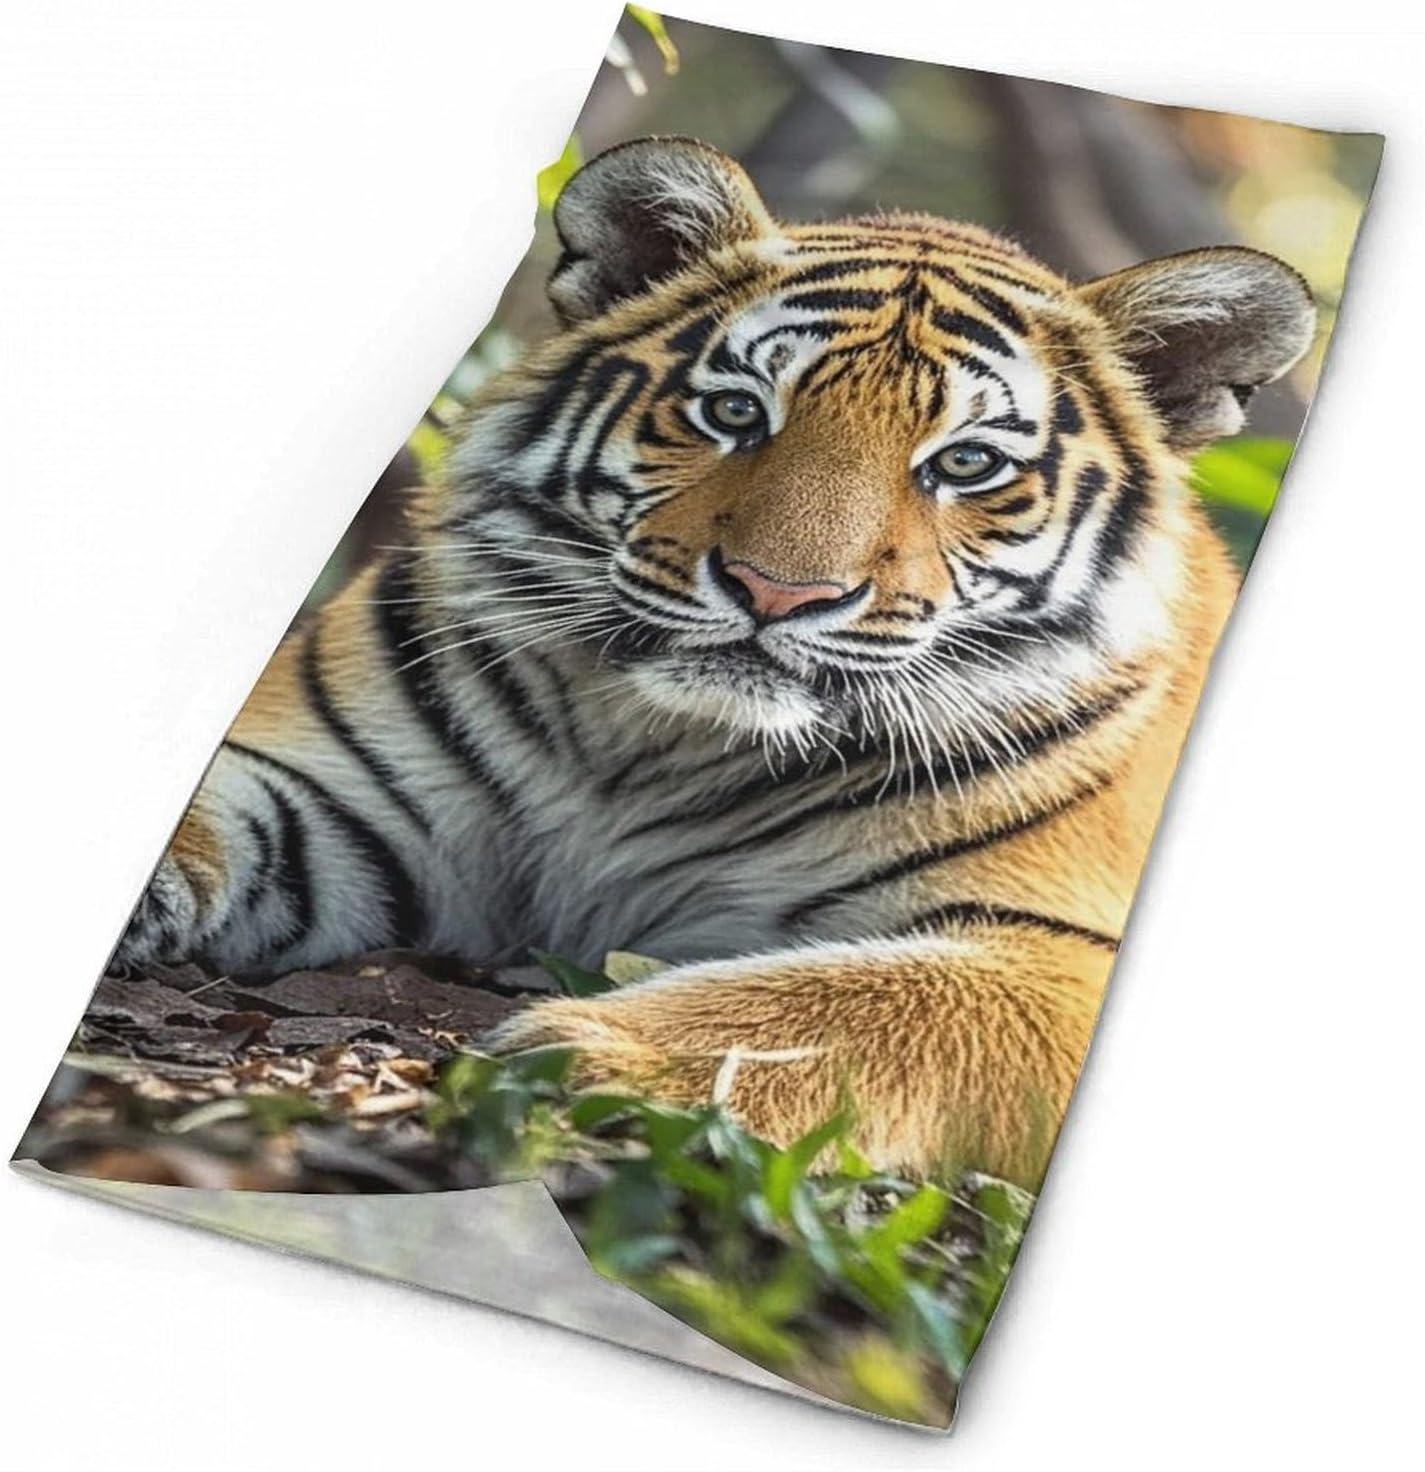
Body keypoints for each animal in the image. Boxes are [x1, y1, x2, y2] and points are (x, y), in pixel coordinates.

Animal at [115, 137, 1314, 1188]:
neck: (653, 749)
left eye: (967, 464)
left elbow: (864, 1003)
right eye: (735, 411)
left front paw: (594, 1058)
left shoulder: (1055, 946)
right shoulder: (324, 789)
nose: (778, 591)